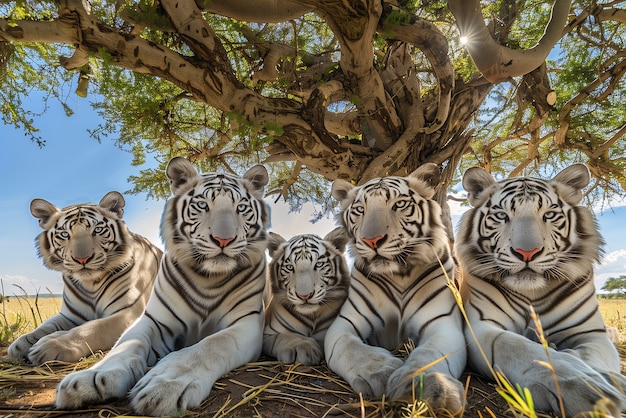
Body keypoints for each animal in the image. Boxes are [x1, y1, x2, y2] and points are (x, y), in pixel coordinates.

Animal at [7, 193, 161, 366]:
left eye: (98, 230)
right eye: (65, 234)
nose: (82, 259)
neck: (91, 284)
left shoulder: (129, 312)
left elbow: (92, 328)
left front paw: (50, 345)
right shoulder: (70, 316)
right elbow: (46, 326)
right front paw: (20, 344)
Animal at [54, 158, 268, 416]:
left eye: (241, 208)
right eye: (202, 205)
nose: (223, 240)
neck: (208, 278)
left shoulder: (247, 324)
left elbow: (211, 345)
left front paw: (165, 383)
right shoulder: (154, 320)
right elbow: (128, 343)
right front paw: (94, 376)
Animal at [260, 227, 348, 364]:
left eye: (319, 265)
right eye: (290, 267)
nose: (304, 296)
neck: (312, 316)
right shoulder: (267, 334)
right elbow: (286, 336)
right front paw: (303, 348)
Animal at [324, 162, 466, 412]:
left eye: (399, 204)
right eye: (360, 209)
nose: (372, 241)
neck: (399, 275)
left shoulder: (443, 324)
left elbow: (430, 354)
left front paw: (429, 387)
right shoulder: (345, 324)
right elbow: (351, 348)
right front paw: (381, 372)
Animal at [454, 165, 624, 416]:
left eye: (549, 215)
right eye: (501, 216)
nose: (527, 253)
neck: (532, 294)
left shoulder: (590, 333)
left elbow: (592, 353)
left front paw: (607, 378)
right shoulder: (481, 327)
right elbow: (522, 350)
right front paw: (586, 384)